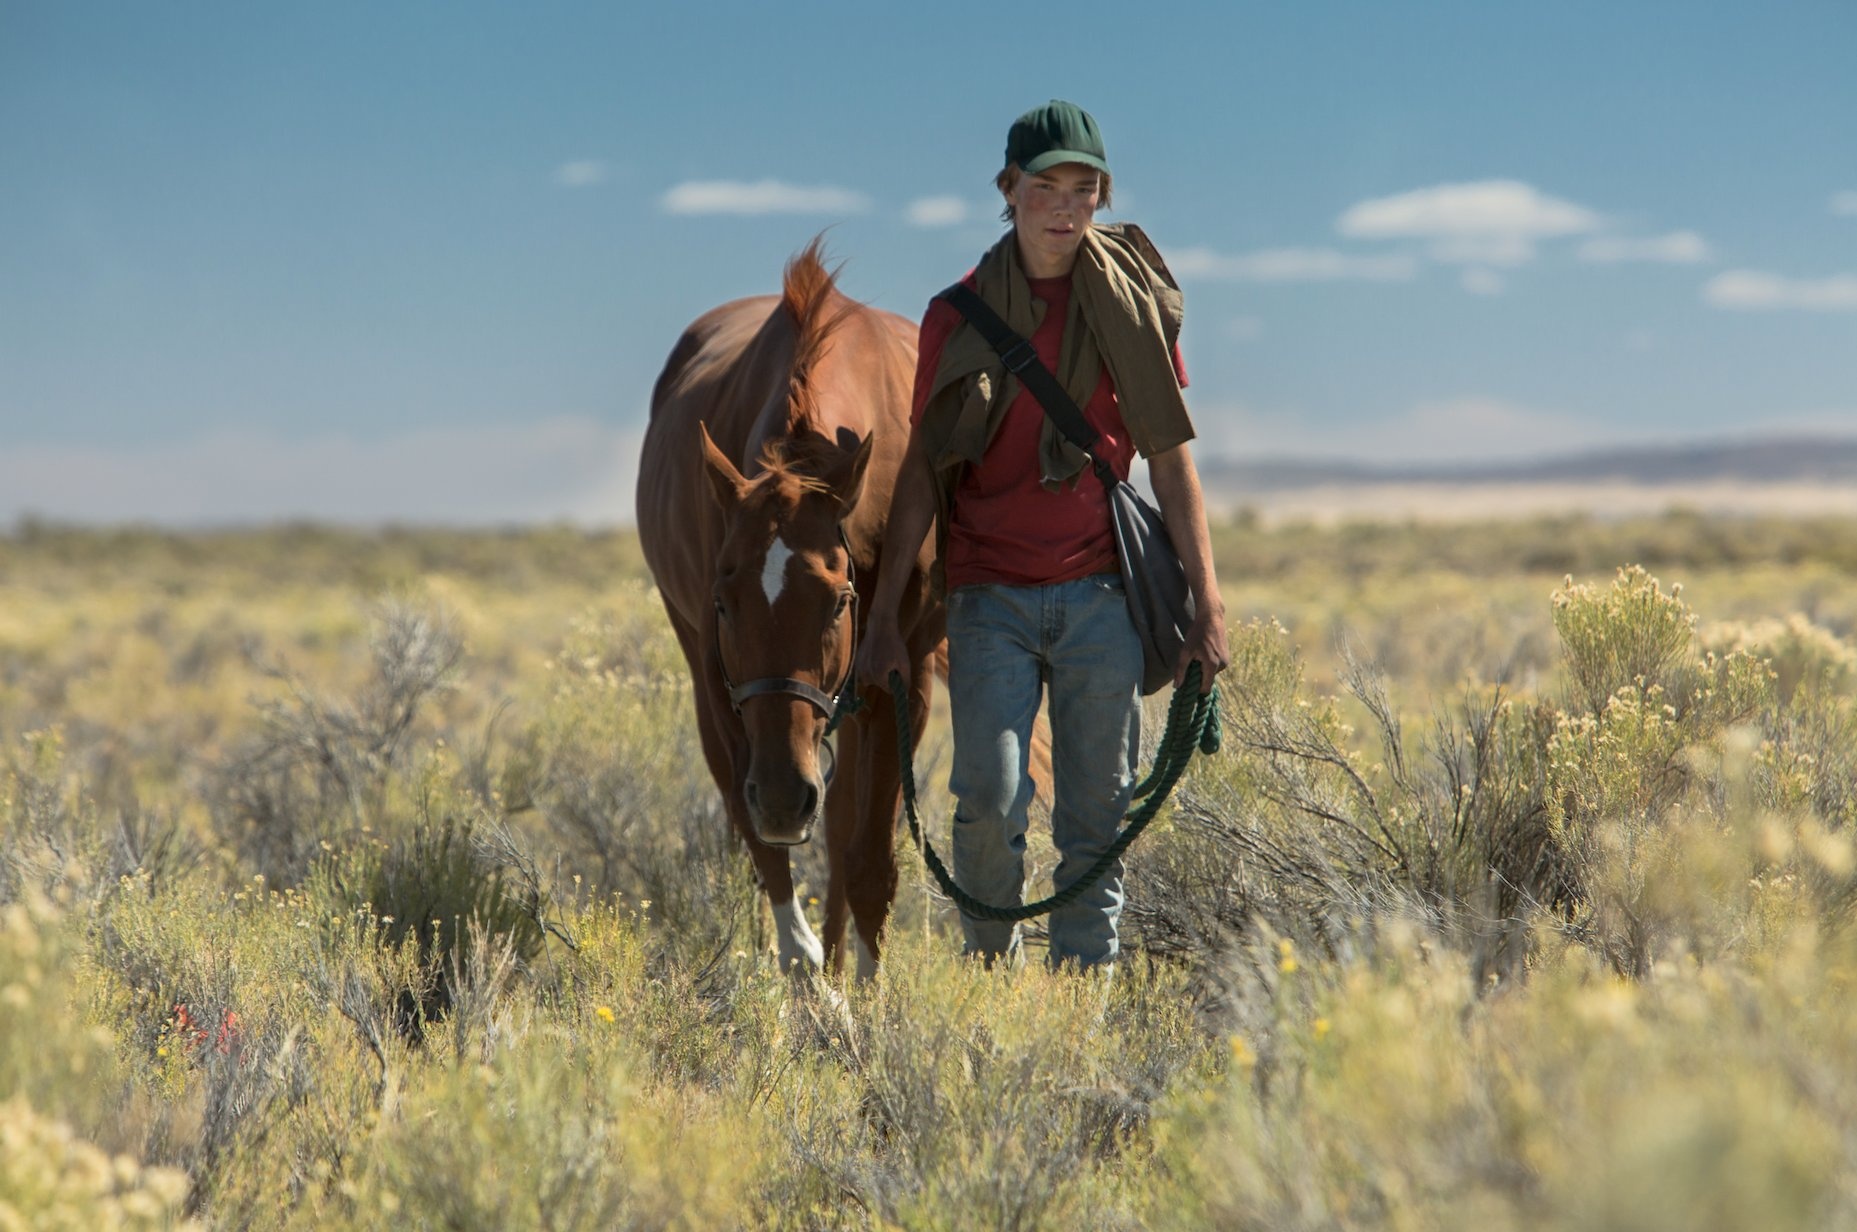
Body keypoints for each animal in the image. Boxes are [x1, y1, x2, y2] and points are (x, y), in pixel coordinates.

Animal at [635, 237, 943, 973]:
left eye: (837, 602)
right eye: (724, 603)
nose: (782, 798)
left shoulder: (901, 677)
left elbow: (868, 866)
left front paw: (867, 988)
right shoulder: (724, 683)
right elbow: (767, 857)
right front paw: (815, 988)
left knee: (839, 830)